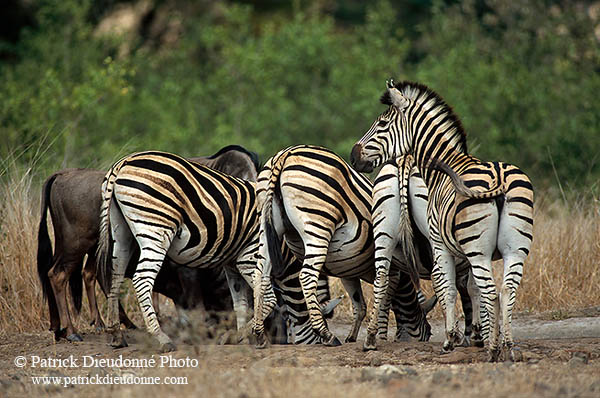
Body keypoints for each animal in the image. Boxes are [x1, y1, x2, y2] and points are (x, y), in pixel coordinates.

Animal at [250, 145, 432, 346]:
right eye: (428, 333)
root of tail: (285, 154)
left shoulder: (347, 269)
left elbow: (360, 304)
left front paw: (352, 337)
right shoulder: (393, 272)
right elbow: (385, 301)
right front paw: (380, 336)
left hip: (268, 225)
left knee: (260, 274)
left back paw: (258, 334)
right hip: (317, 225)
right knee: (306, 277)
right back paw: (326, 335)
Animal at [352, 80, 536, 360]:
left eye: (382, 124)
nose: (353, 155)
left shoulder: (441, 244)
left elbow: (451, 287)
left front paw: (457, 337)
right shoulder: (451, 248)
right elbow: (463, 287)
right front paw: (469, 335)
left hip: (482, 248)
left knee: (494, 291)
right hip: (508, 249)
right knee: (504, 291)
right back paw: (506, 348)